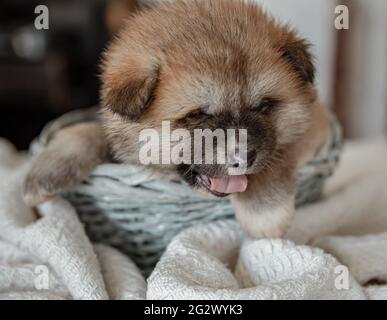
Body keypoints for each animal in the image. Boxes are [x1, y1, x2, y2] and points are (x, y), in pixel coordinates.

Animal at [24, 0, 332, 239]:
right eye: (197, 115)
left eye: (263, 106)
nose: (245, 156)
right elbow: (85, 131)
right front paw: (45, 172)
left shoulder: (316, 124)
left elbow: (276, 157)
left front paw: (264, 211)